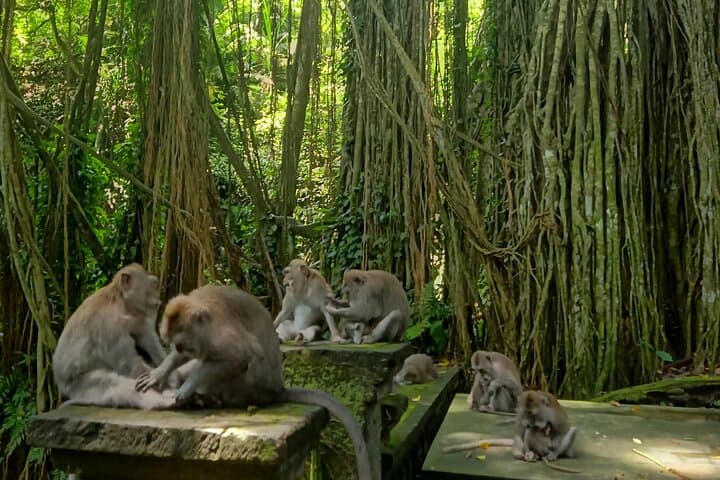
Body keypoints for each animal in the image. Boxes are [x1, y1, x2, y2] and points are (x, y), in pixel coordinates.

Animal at [52, 263, 176, 409]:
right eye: (154, 284)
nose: (158, 298)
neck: (120, 303)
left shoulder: (137, 318)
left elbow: (147, 338)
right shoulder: (109, 327)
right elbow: (128, 365)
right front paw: (169, 381)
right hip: (79, 385)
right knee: (109, 382)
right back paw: (161, 402)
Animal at [135, 285, 371, 480]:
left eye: (182, 344)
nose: (180, 349)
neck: (206, 318)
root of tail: (277, 389)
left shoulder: (219, 335)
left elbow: (240, 357)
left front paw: (187, 388)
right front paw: (159, 374)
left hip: (250, 387)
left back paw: (207, 399)